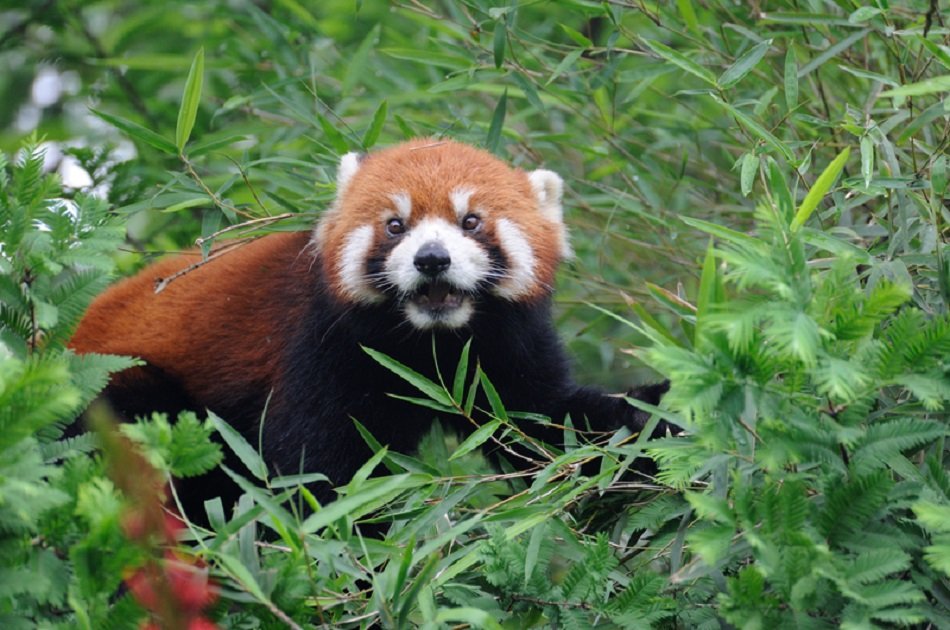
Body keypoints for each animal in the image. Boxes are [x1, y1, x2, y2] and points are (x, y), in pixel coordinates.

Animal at [69, 138, 670, 516]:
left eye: (471, 221)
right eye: (395, 225)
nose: (432, 259)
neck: (430, 344)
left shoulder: (504, 352)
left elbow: (544, 425)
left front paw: (657, 415)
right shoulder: (321, 349)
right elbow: (316, 476)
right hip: (119, 386)